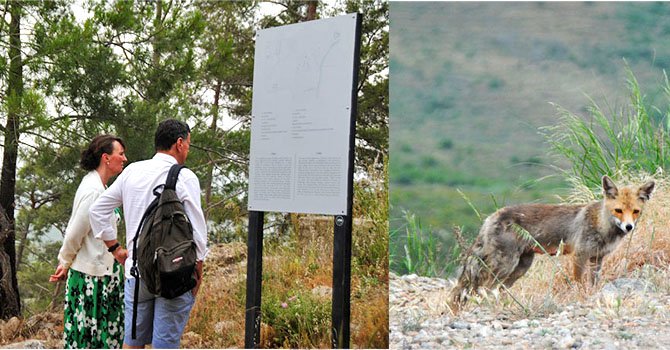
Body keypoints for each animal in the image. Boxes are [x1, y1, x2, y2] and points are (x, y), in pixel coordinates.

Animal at [452, 175, 656, 312]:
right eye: (618, 210)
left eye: (636, 211)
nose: (629, 227)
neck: (602, 225)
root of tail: (491, 217)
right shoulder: (580, 255)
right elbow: (578, 283)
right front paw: (579, 297)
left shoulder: (597, 258)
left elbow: (593, 284)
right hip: (505, 265)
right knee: (483, 288)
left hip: (520, 268)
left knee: (495, 289)